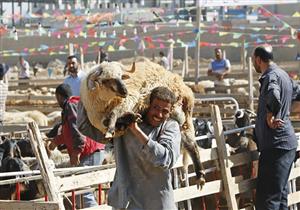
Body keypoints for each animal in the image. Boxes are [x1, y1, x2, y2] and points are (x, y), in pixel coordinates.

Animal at [79, 58, 205, 187]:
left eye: (121, 76)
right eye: (107, 80)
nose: (125, 91)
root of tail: (184, 87)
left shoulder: (131, 98)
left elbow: (114, 114)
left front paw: (114, 127)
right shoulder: (99, 119)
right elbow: (108, 121)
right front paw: (126, 120)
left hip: (179, 113)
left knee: (191, 143)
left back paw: (200, 174)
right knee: (188, 141)